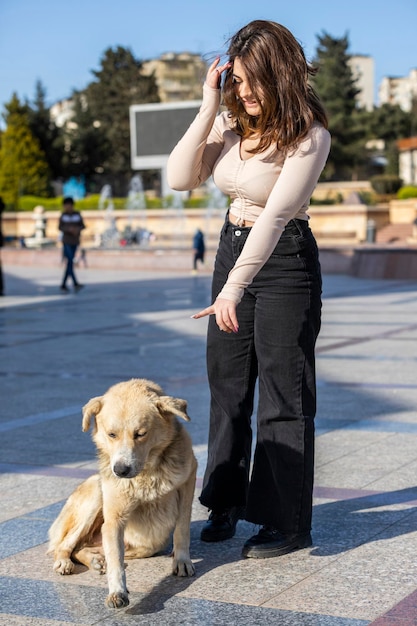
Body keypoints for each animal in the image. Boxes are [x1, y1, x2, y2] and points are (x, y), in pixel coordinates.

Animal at [48, 378, 197, 608]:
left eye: (140, 434)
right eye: (111, 434)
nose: (120, 470)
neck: (146, 474)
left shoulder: (189, 480)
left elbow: (182, 528)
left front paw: (181, 560)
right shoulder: (114, 519)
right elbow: (115, 560)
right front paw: (117, 591)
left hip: (148, 544)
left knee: (86, 547)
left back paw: (95, 559)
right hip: (96, 493)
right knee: (67, 545)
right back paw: (66, 561)